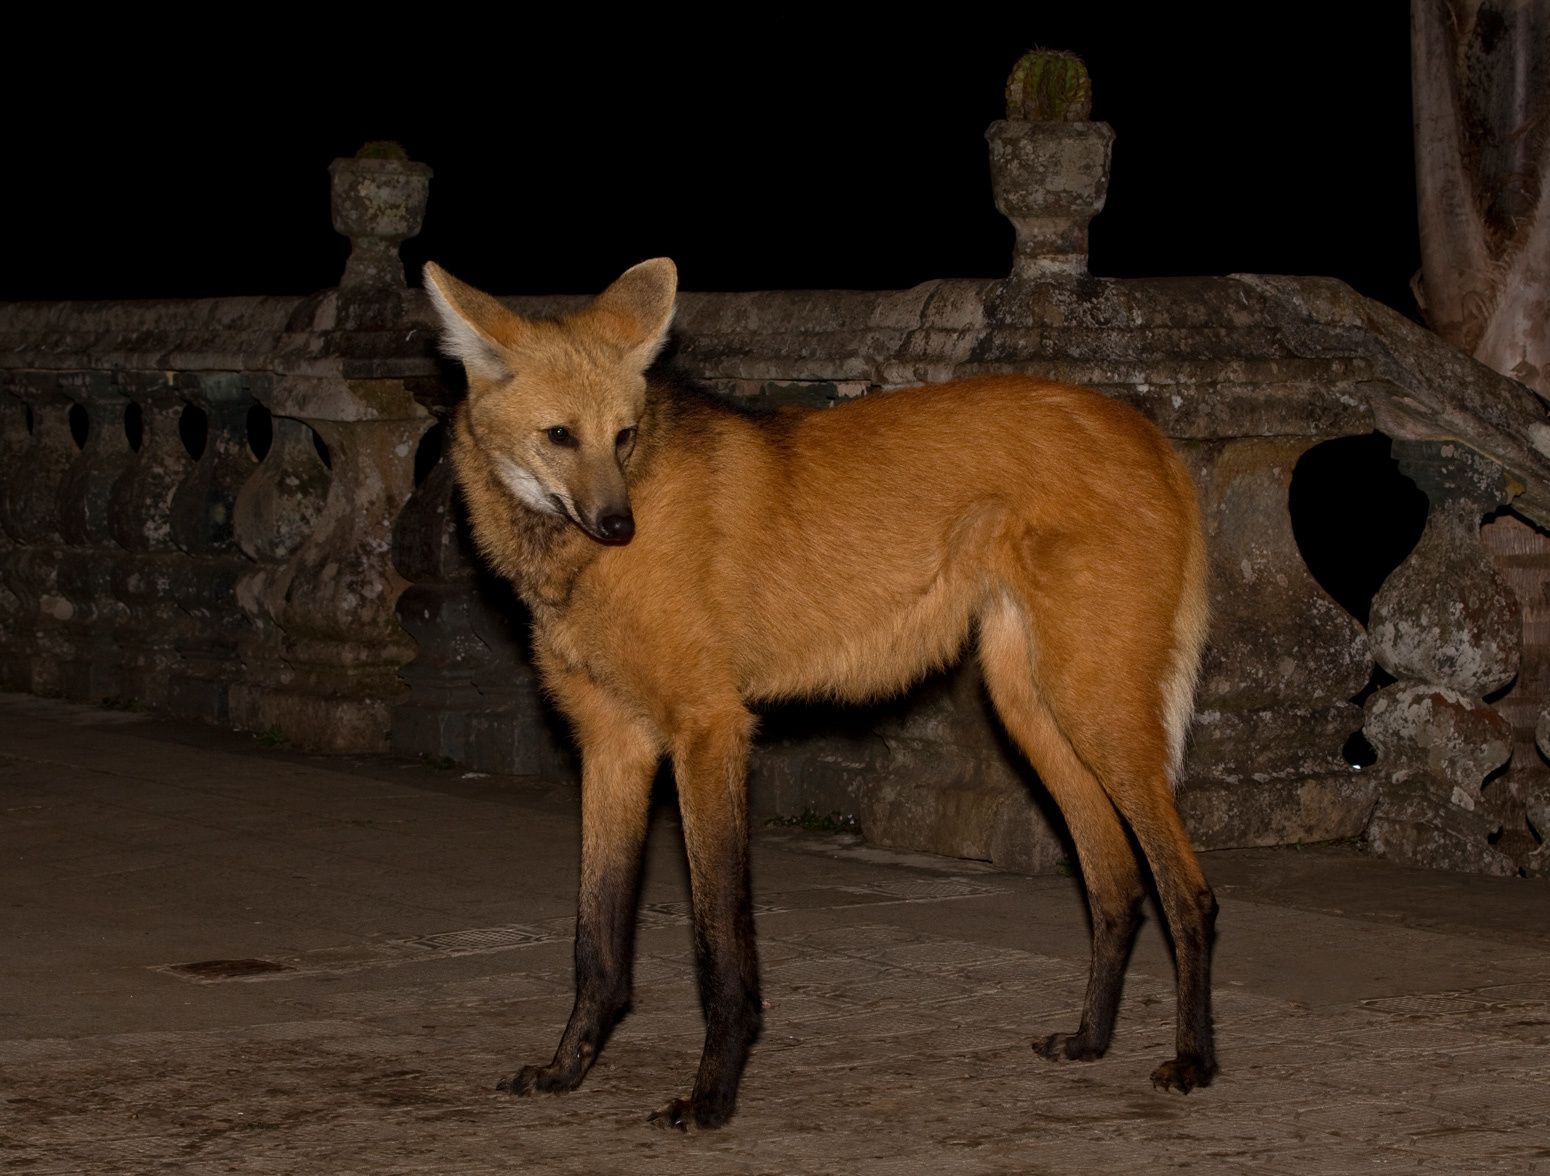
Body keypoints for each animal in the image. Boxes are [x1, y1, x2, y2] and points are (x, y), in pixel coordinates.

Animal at [424, 257, 1216, 1130]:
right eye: (558, 436)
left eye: (623, 437)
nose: (616, 524)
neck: (571, 561)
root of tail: (1148, 429)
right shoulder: (614, 742)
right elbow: (594, 941)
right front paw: (566, 1071)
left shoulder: (708, 727)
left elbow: (718, 937)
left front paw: (712, 1096)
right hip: (1031, 706)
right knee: (1117, 885)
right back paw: (1090, 1041)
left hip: (1092, 703)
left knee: (1188, 892)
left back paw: (1193, 1060)